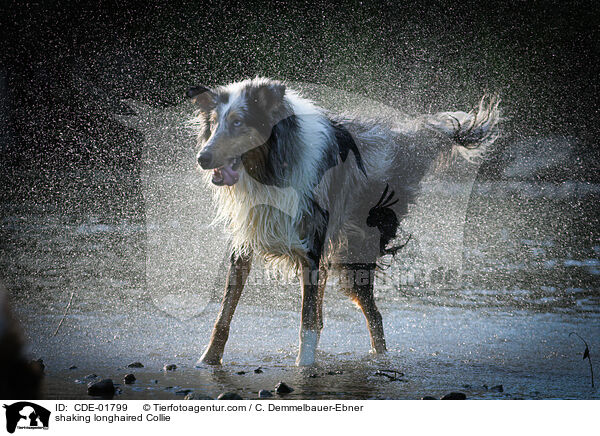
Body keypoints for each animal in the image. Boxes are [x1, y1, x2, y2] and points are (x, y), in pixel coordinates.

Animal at [186, 77, 496, 364]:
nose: (202, 158)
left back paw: (379, 359)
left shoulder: (310, 248)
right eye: (213, 124)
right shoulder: (244, 244)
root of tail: (404, 140)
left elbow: (307, 324)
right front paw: (207, 361)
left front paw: (303, 369)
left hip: (353, 257)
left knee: (374, 316)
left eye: (238, 122)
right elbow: (225, 312)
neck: (271, 165)